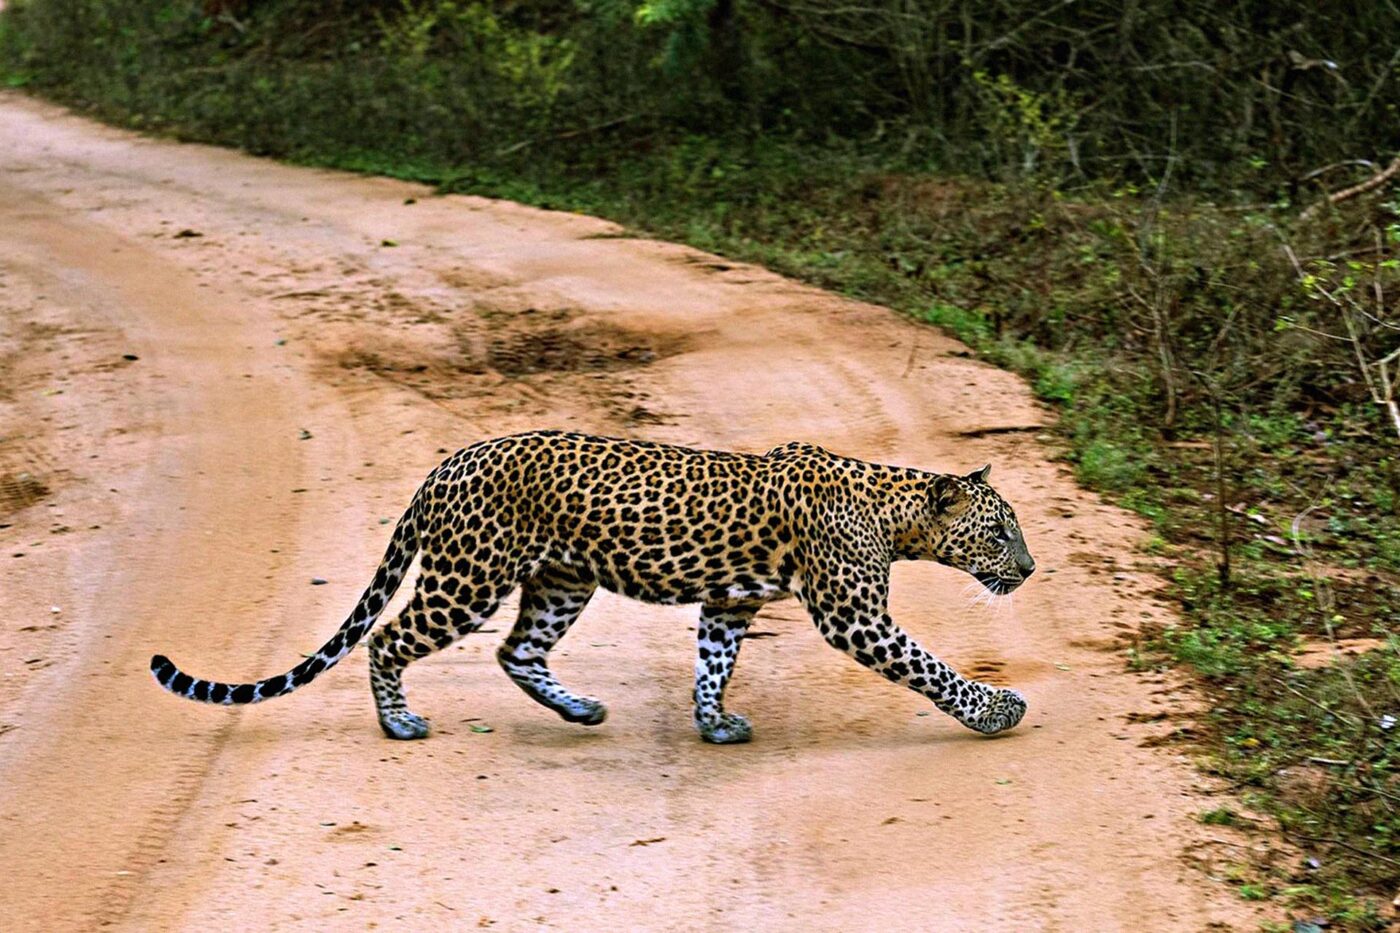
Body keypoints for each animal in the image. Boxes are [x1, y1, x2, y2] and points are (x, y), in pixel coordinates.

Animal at [151, 430, 1036, 743]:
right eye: (999, 531)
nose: (1029, 569)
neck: (896, 512)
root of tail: (447, 462)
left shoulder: (730, 600)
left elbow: (713, 662)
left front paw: (713, 722)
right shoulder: (854, 616)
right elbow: (931, 667)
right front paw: (996, 710)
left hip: (561, 581)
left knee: (516, 651)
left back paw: (579, 708)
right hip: (468, 575)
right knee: (391, 636)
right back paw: (399, 721)